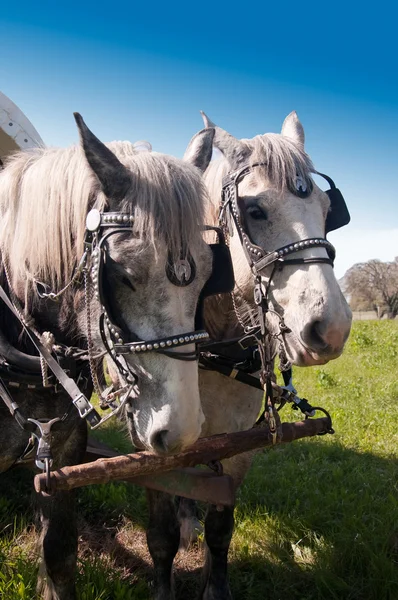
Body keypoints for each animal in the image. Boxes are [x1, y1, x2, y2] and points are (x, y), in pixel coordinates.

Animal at [143, 111, 352, 600]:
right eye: (255, 211)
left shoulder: (238, 440)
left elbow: (221, 527)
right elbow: (160, 533)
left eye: (327, 211)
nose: (330, 328)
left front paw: (215, 584)